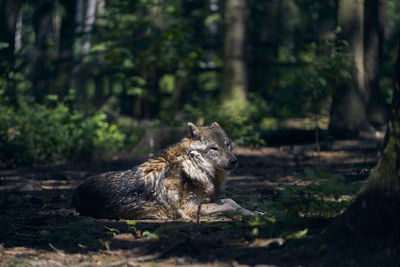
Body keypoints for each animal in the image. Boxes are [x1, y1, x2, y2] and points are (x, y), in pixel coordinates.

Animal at [72, 122, 253, 221]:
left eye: (227, 145)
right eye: (214, 148)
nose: (234, 161)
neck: (193, 164)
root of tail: (76, 191)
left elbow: (231, 201)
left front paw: (252, 211)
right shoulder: (190, 209)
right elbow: (230, 203)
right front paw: (251, 214)